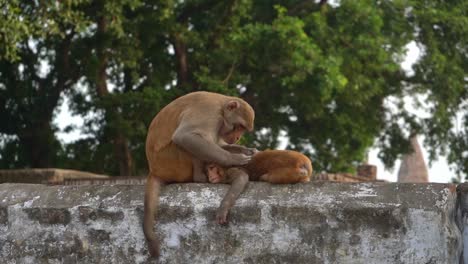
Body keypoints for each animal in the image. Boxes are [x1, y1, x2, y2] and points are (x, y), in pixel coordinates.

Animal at [145, 91, 256, 258]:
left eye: (242, 129)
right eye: (239, 126)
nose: (237, 137)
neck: (221, 107)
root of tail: (155, 170)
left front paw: (247, 150)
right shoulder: (210, 113)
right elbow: (185, 136)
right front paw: (234, 158)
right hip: (173, 161)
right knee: (191, 140)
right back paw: (199, 177)